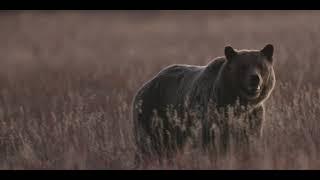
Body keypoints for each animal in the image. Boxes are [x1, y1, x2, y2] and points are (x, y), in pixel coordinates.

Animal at [132, 44, 276, 164]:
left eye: (261, 66)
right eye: (243, 66)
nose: (254, 78)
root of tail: (144, 85)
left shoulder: (253, 117)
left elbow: (248, 141)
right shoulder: (214, 112)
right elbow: (212, 142)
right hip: (153, 112)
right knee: (148, 145)